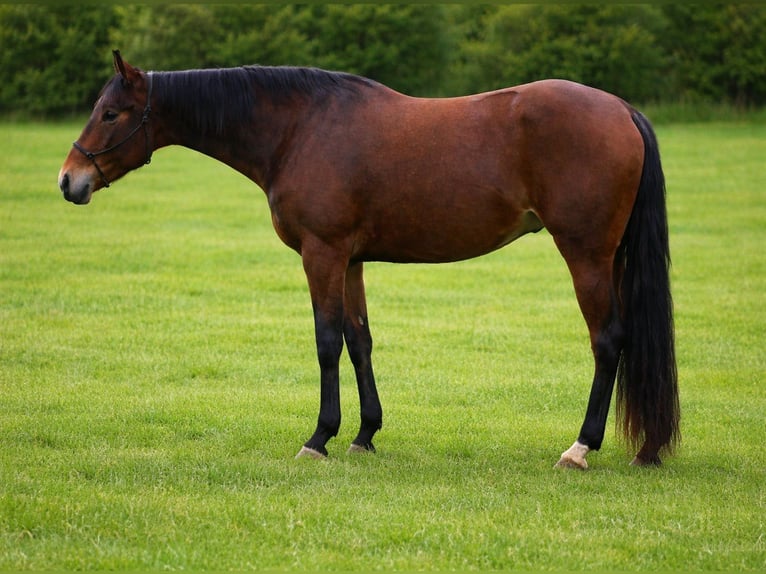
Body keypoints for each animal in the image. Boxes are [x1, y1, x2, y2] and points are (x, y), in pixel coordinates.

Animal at [59, 51, 679, 469]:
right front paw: (364, 434)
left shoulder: (322, 253)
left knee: (608, 340)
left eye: (111, 113)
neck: (298, 128)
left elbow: (326, 341)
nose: (69, 180)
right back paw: (646, 447)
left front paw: (319, 438)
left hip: (586, 254)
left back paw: (580, 447)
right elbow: (359, 341)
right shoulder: (351, 260)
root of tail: (621, 109)